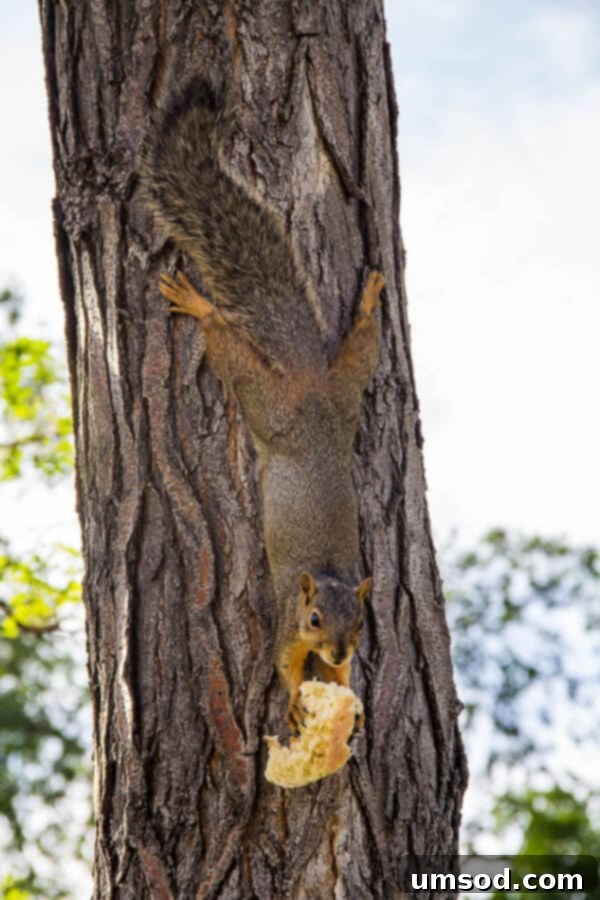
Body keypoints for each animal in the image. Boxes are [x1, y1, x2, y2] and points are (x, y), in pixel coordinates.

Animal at [144, 81, 384, 731]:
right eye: (314, 619)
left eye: (361, 623)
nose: (337, 651)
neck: (323, 578)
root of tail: (305, 383)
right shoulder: (283, 626)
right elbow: (283, 668)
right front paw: (301, 707)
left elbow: (339, 682)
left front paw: (343, 698)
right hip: (265, 401)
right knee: (226, 345)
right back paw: (199, 305)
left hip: (343, 393)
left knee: (360, 347)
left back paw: (369, 303)